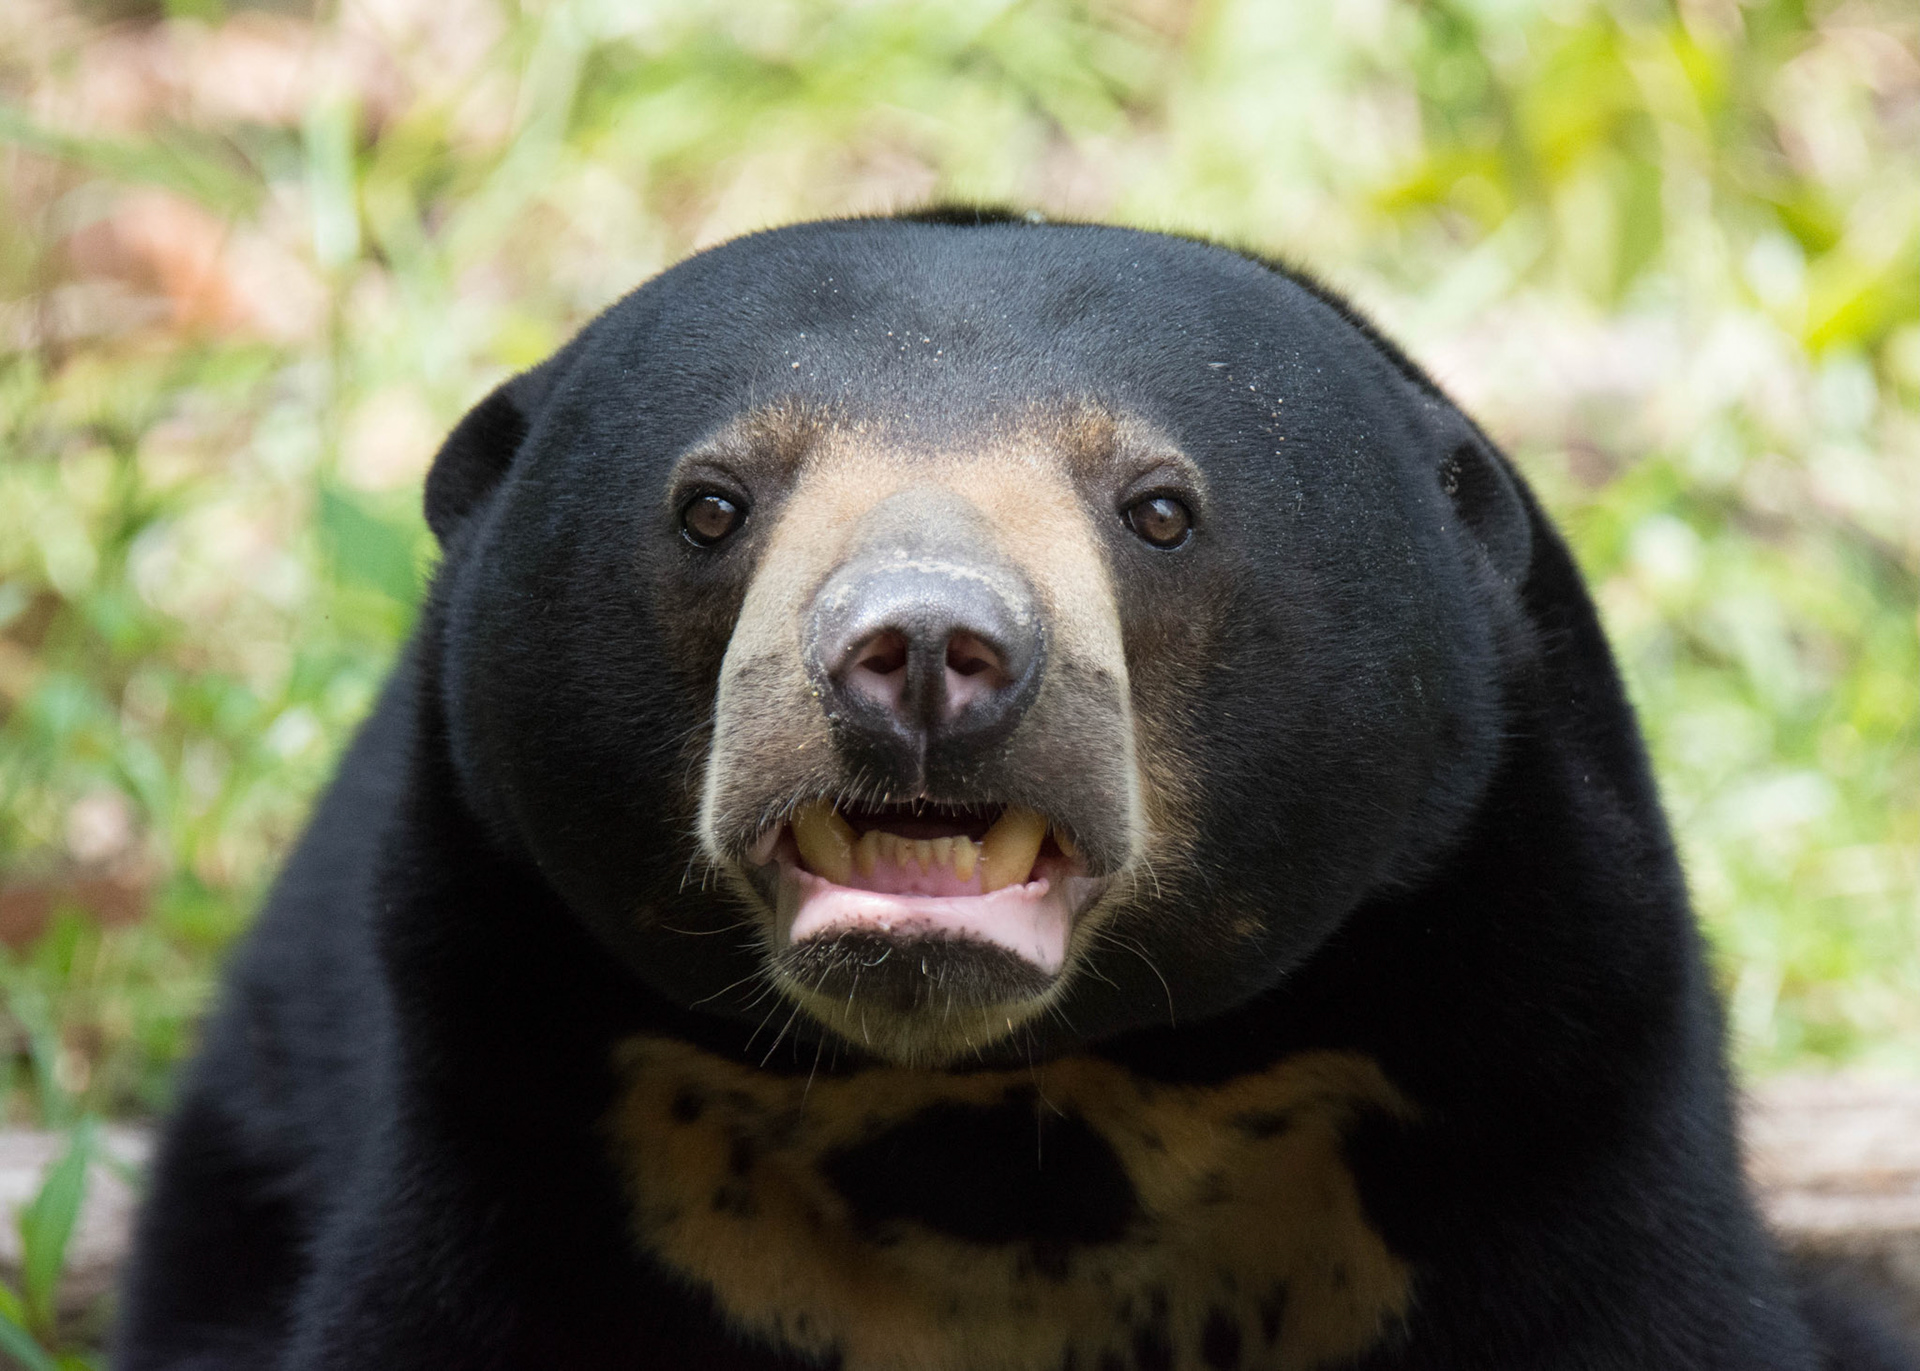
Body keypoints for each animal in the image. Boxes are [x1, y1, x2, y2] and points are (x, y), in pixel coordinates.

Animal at [114, 210, 1915, 1371]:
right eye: (713, 503)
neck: (1004, 1123)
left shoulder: (1545, 1090)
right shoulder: (533, 1124)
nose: (924, 653)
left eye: (1162, 506)